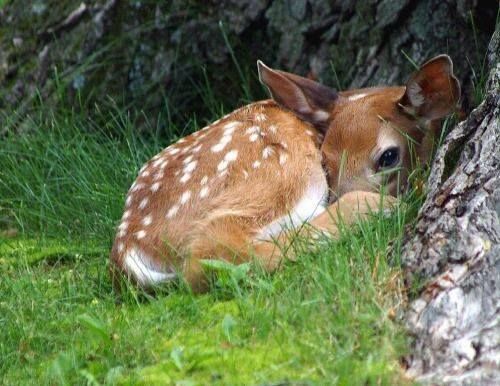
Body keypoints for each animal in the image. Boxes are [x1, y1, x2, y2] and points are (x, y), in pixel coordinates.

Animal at [110, 55, 460, 292]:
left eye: (389, 156)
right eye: (326, 162)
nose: (340, 193)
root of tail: (128, 248)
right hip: (278, 170)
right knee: (213, 251)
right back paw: (374, 208)